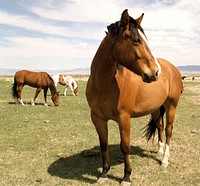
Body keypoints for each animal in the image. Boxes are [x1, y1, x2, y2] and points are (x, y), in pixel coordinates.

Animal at [85, 9, 183, 185]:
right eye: (137, 40)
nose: (155, 72)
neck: (104, 84)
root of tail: (172, 68)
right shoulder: (97, 118)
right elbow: (103, 144)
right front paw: (104, 173)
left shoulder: (124, 118)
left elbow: (125, 146)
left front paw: (127, 176)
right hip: (156, 108)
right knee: (159, 126)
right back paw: (160, 151)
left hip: (171, 106)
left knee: (168, 130)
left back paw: (165, 160)